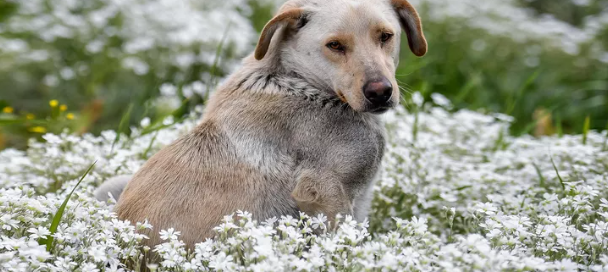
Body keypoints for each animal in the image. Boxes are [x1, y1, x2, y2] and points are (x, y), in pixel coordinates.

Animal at [96, 0, 428, 248]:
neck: (304, 83)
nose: (380, 92)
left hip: (112, 183)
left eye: (385, 36)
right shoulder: (323, 193)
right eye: (334, 45)